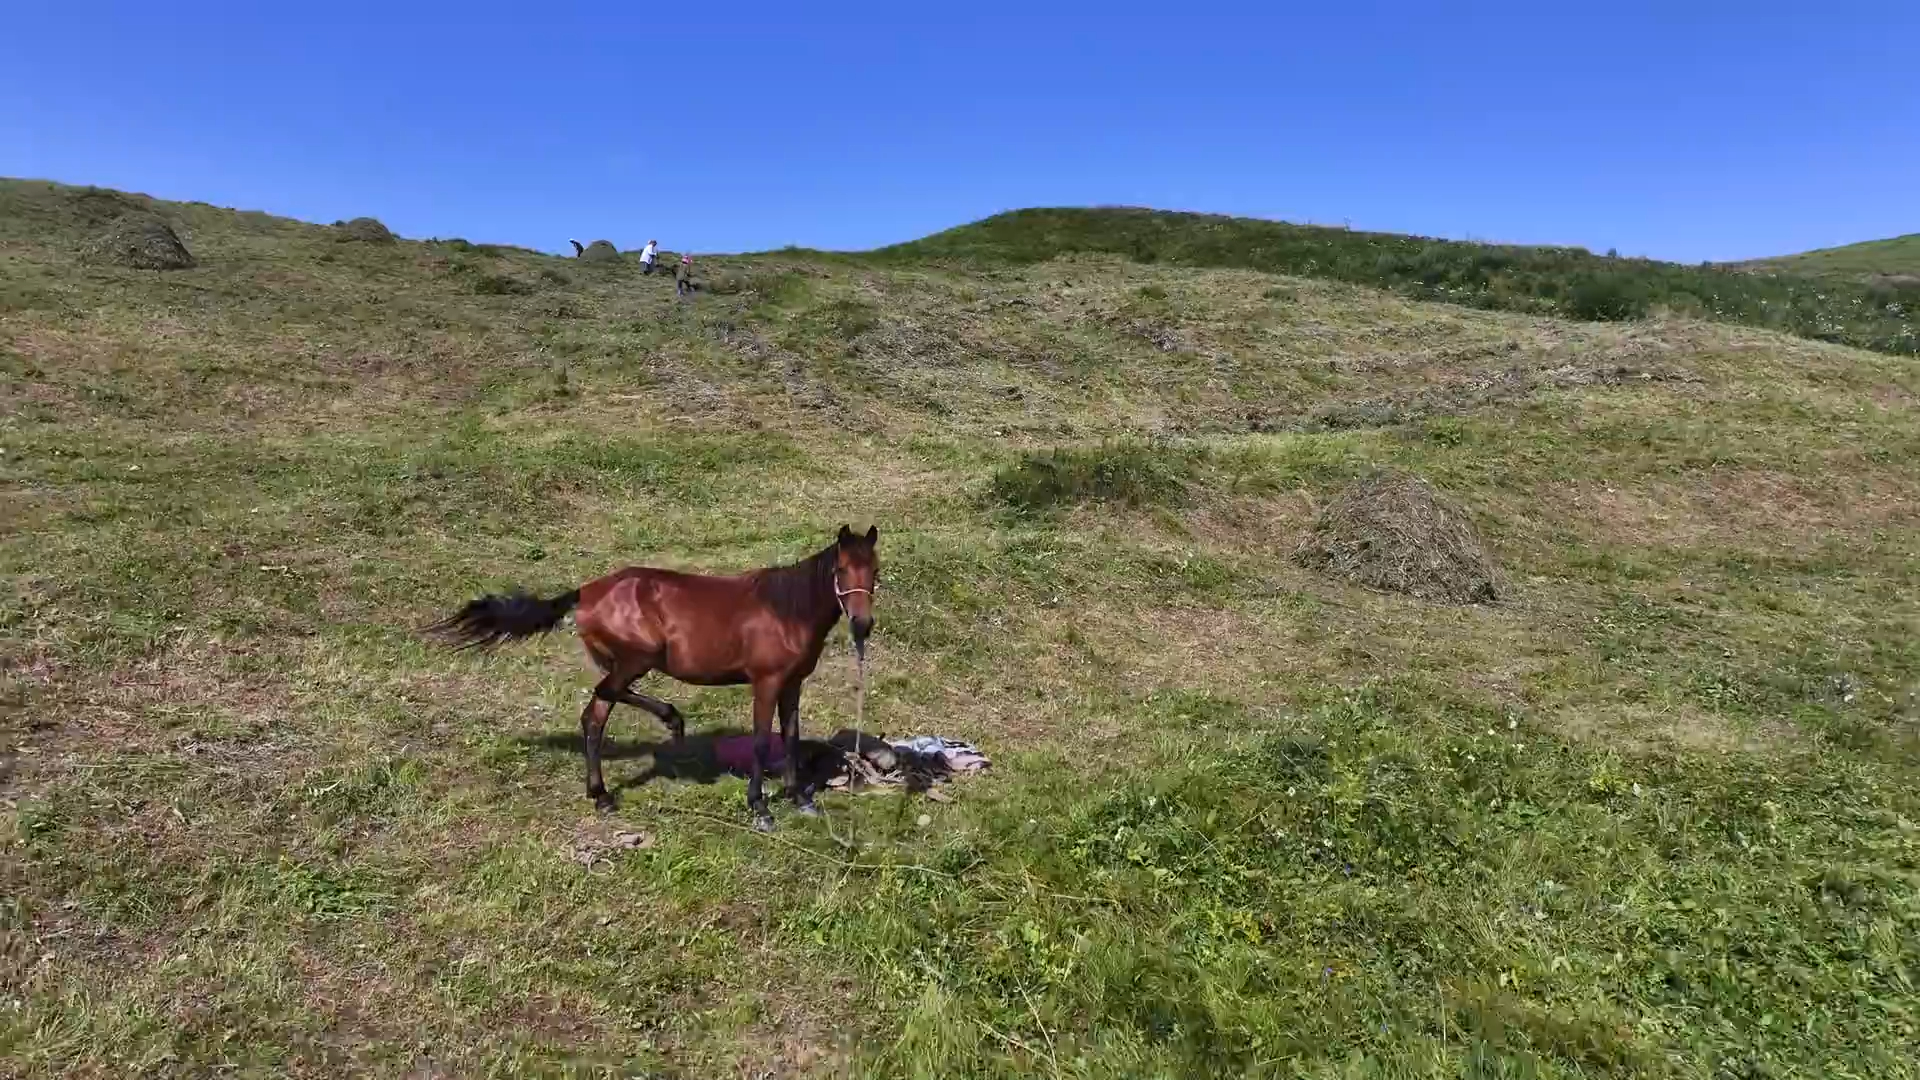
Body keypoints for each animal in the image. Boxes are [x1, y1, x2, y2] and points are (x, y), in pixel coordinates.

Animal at [428, 526, 879, 826]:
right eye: (840, 570)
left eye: (874, 570)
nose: (863, 624)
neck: (785, 612)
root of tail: (585, 592)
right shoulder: (766, 682)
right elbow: (759, 741)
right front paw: (760, 807)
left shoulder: (791, 684)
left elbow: (790, 736)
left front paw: (799, 798)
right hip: (637, 658)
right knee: (600, 705)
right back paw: (619, 778)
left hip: (627, 661)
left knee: (599, 708)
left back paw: (624, 770)